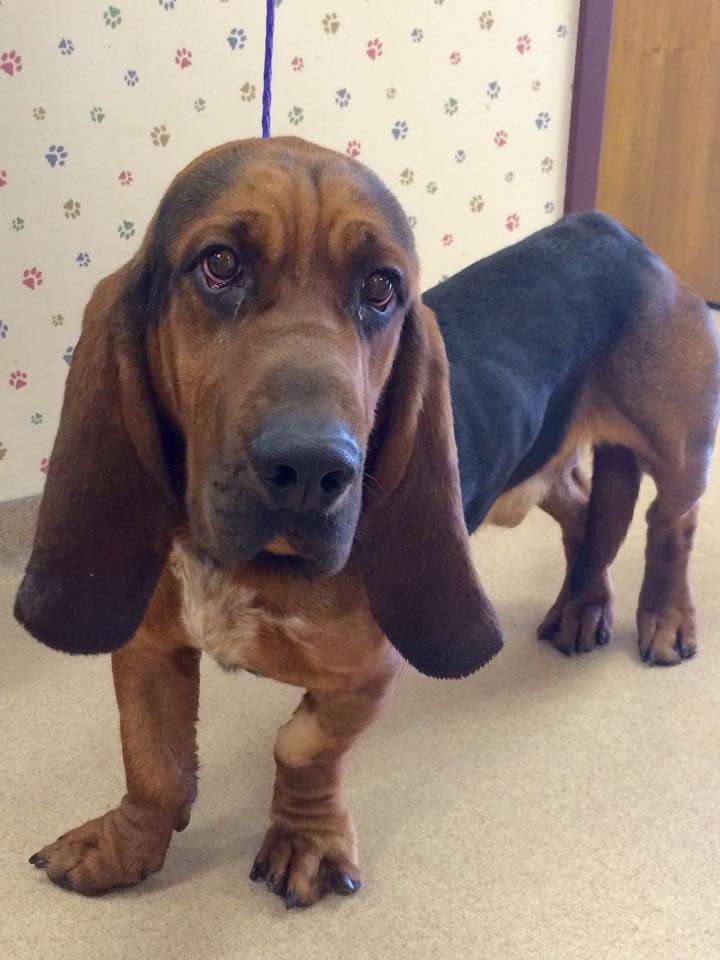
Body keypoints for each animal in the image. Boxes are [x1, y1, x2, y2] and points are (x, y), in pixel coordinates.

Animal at [16, 137, 720, 908]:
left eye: (382, 288)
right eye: (220, 264)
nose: (313, 469)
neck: (249, 565)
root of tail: (615, 232)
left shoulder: (368, 674)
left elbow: (301, 746)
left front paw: (306, 844)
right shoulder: (147, 645)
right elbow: (153, 761)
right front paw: (124, 846)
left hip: (678, 447)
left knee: (669, 521)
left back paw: (664, 618)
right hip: (531, 478)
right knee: (585, 503)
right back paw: (583, 604)